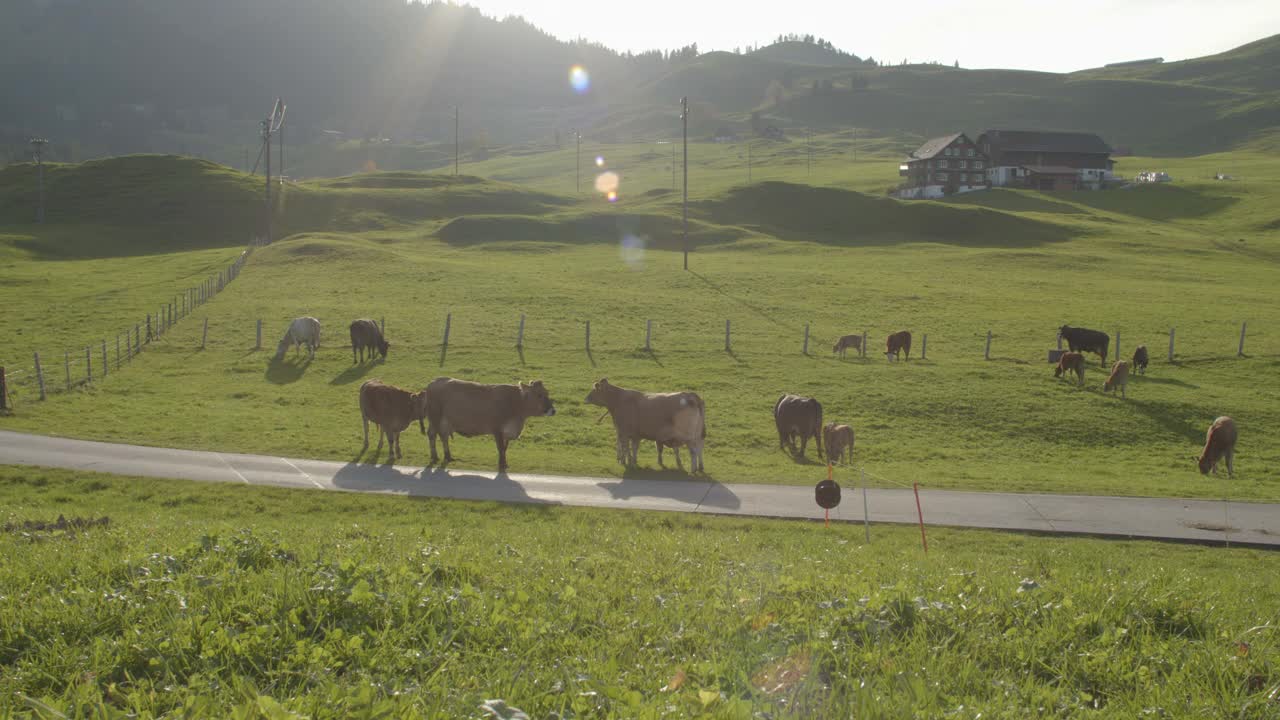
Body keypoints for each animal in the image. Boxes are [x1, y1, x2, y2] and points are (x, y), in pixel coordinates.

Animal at [424, 376, 555, 471]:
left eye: (547, 393)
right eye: (539, 395)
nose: (553, 410)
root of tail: (434, 381)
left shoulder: (506, 432)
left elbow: (505, 448)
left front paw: (505, 463)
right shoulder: (497, 429)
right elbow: (500, 448)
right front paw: (502, 465)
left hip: (443, 421)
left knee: (441, 435)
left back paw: (447, 456)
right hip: (435, 417)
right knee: (434, 434)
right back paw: (436, 456)